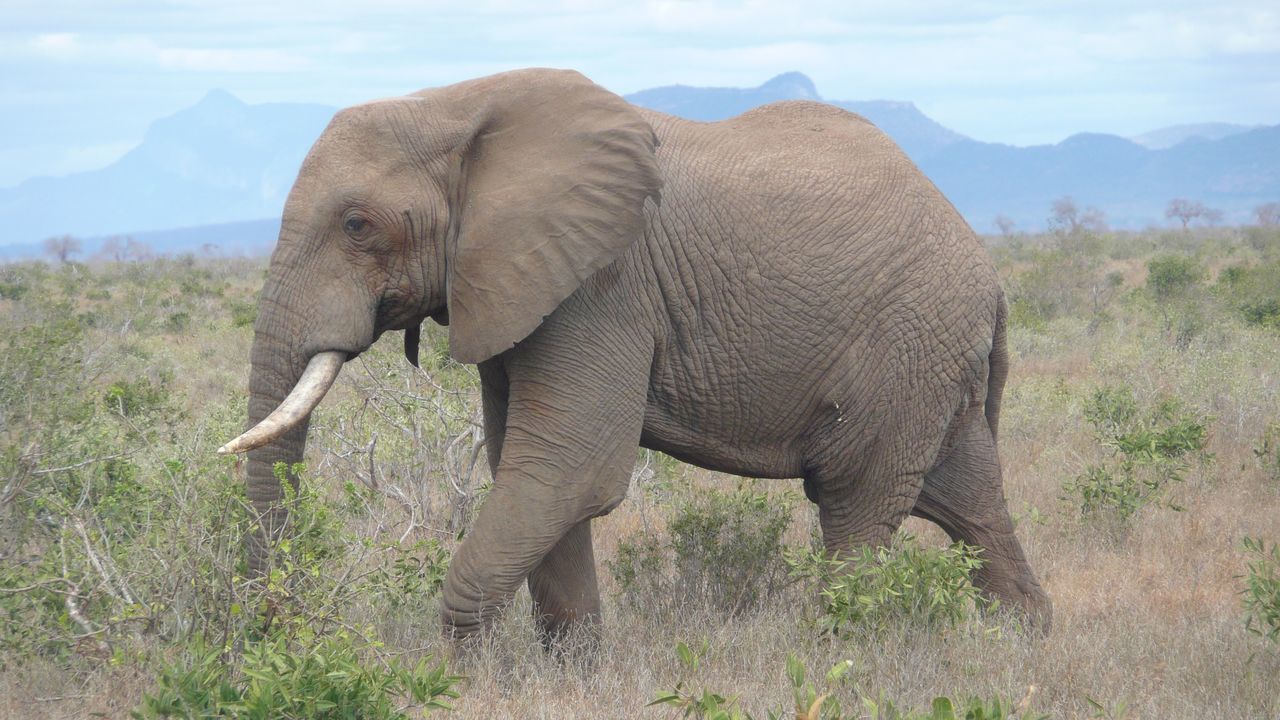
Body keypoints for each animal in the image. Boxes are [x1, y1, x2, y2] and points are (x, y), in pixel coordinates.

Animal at [222, 67, 1049, 638]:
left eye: (356, 225)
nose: (279, 630)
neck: (455, 102)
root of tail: (992, 279)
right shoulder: (523, 283)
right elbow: (530, 471)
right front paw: (571, 678)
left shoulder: (603, 287)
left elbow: (568, 471)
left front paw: (460, 676)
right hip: (930, 359)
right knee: (966, 502)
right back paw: (1020, 647)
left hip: (909, 342)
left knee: (855, 505)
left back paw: (835, 658)